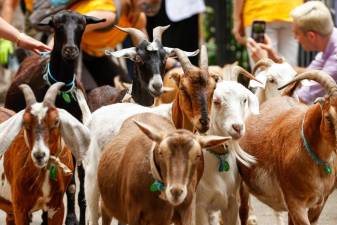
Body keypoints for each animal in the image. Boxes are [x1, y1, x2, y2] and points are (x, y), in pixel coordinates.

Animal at [96, 112, 230, 225]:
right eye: (160, 152)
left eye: (198, 155)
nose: (176, 192)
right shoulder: (133, 213)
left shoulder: (186, 211)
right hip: (105, 205)